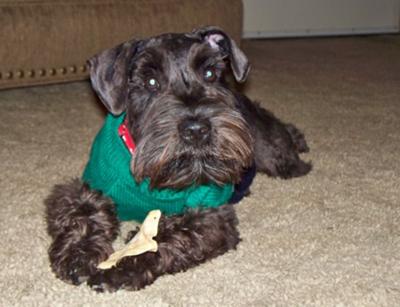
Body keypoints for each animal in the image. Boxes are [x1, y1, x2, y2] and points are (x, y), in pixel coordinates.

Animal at [45, 27, 310, 294]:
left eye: (210, 73)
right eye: (151, 82)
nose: (197, 130)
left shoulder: (210, 215)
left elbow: (167, 237)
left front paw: (121, 267)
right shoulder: (89, 186)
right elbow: (82, 213)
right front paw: (78, 255)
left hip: (272, 152)